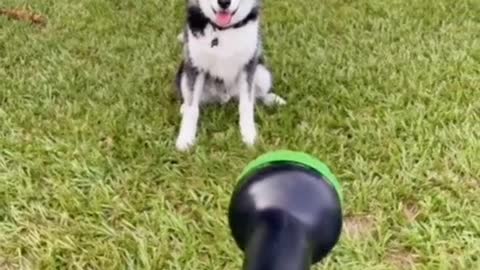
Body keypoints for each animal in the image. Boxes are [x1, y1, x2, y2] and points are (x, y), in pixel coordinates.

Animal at [174, 0, 284, 151]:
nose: (224, 2)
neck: (223, 30)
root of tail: (225, 98)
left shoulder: (248, 65)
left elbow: (246, 105)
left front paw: (249, 136)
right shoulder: (194, 66)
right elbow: (192, 109)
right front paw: (185, 139)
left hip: (262, 72)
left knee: (257, 95)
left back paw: (272, 99)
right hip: (182, 73)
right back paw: (184, 106)